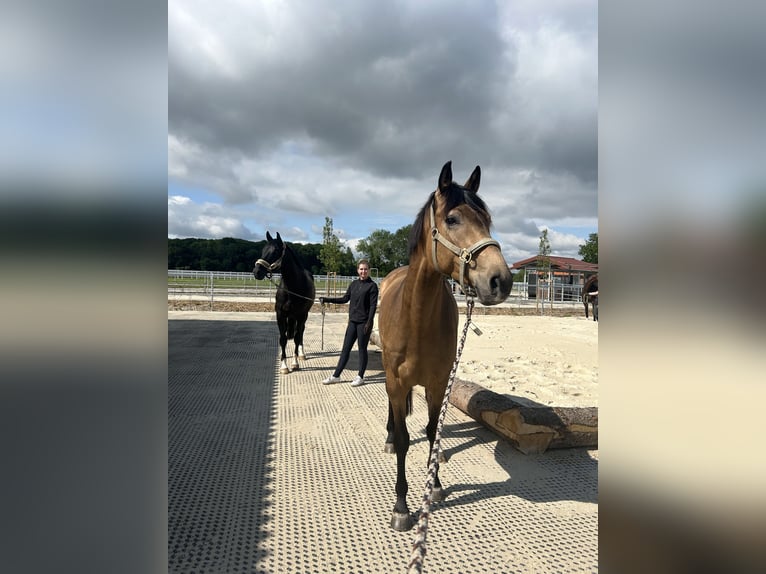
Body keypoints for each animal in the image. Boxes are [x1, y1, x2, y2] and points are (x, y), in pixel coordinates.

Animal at [255, 232, 316, 376]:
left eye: (275, 251)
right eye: (263, 250)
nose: (257, 271)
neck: (292, 286)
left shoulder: (300, 315)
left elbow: (297, 338)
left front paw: (294, 363)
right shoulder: (280, 315)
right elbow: (282, 339)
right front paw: (283, 365)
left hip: (303, 316)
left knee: (301, 332)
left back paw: (301, 354)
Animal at [380, 161, 512, 532]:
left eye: (487, 219)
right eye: (452, 219)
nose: (500, 280)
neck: (417, 319)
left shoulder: (439, 383)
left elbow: (431, 432)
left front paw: (435, 485)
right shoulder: (397, 382)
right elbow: (407, 439)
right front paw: (401, 507)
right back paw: (388, 437)